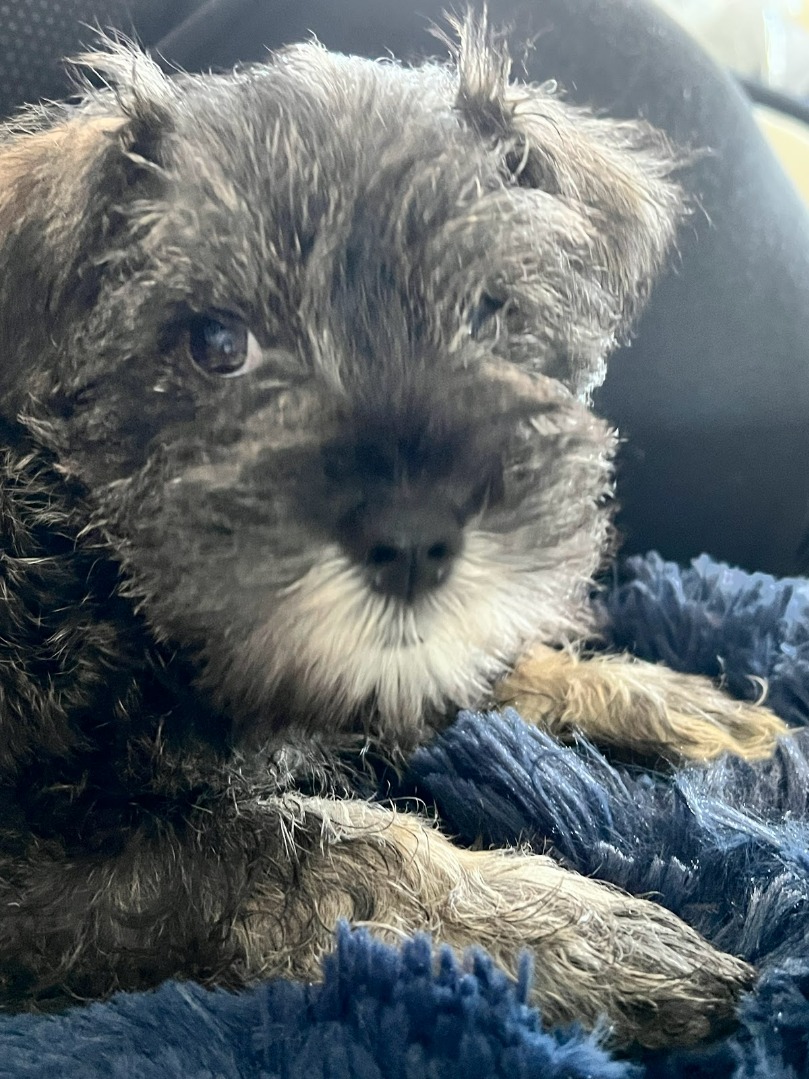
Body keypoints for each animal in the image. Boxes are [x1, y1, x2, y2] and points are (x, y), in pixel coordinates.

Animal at [0, 14, 788, 1049]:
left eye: (489, 315)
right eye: (216, 342)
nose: (413, 539)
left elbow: (485, 663)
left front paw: (678, 700)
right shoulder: (48, 870)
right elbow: (314, 841)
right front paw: (567, 930)